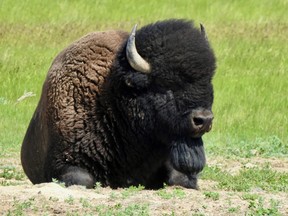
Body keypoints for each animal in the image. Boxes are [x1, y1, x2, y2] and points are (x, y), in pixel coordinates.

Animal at [21, 19, 216, 189]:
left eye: (208, 82)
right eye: (166, 86)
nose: (204, 120)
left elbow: (179, 179)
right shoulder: (63, 162)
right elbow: (84, 179)